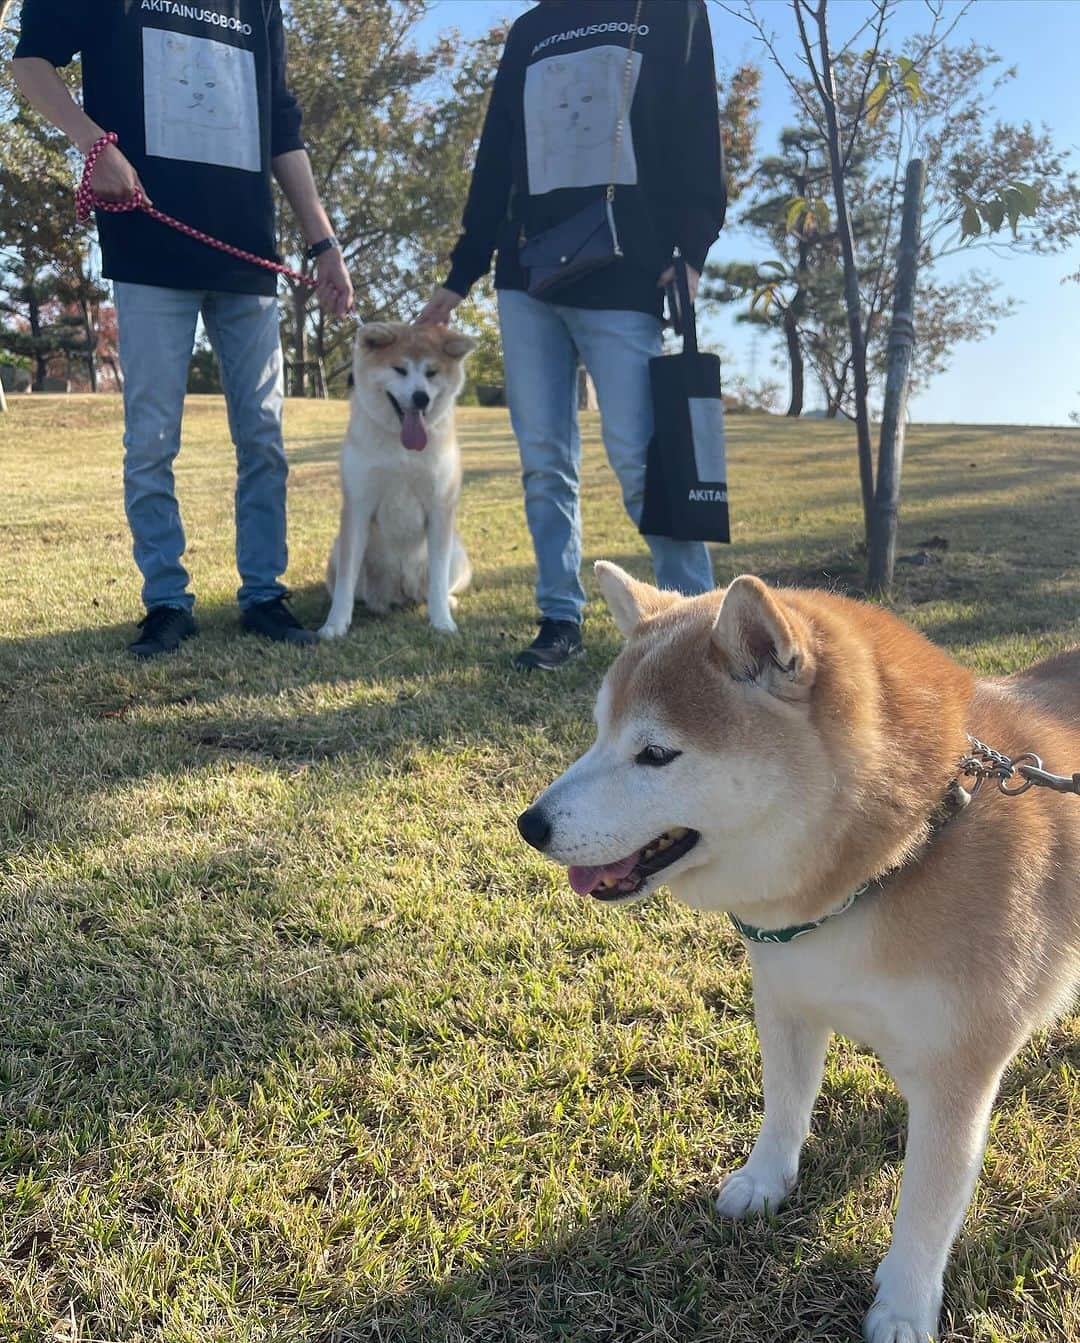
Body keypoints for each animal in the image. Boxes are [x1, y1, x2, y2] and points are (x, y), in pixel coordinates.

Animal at [318, 322, 475, 641]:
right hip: (337, 554)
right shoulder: (358, 506)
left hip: (457, 554)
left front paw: (442, 621)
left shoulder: (439, 507)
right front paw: (335, 625)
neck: (403, 447)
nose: (420, 397)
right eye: (400, 369)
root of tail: (400, 594)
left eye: (431, 372)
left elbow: (438, 577)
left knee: (437, 586)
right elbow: (345, 582)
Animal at [518, 561, 1074, 1343]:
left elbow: (927, 1205)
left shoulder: (957, 1072)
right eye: (599, 733)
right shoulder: (786, 996)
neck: (896, 857)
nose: (529, 824)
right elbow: (784, 1103)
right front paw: (765, 1180)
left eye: (655, 753)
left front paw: (904, 1304)